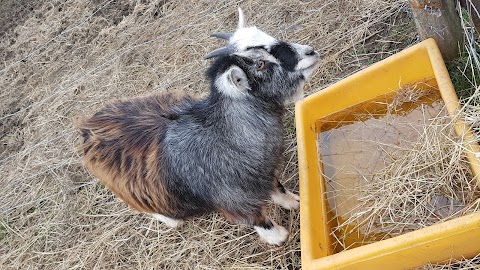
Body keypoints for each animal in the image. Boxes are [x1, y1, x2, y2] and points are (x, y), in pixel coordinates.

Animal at [78, 8, 318, 245]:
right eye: (260, 64)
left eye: (269, 37)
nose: (311, 52)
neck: (224, 135)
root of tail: (87, 126)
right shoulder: (234, 201)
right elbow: (256, 220)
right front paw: (278, 236)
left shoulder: (262, 174)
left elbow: (278, 188)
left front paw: (295, 202)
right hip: (135, 194)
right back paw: (172, 220)